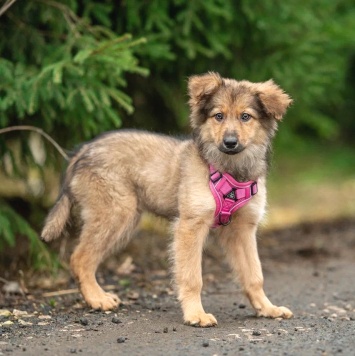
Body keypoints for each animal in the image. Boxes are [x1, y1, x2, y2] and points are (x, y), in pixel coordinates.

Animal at [41, 71, 294, 326]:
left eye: (245, 117)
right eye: (218, 116)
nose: (229, 142)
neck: (231, 171)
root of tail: (82, 150)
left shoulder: (242, 229)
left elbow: (254, 274)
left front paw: (267, 308)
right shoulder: (190, 226)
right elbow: (193, 277)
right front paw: (196, 314)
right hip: (117, 213)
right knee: (79, 258)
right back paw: (97, 299)